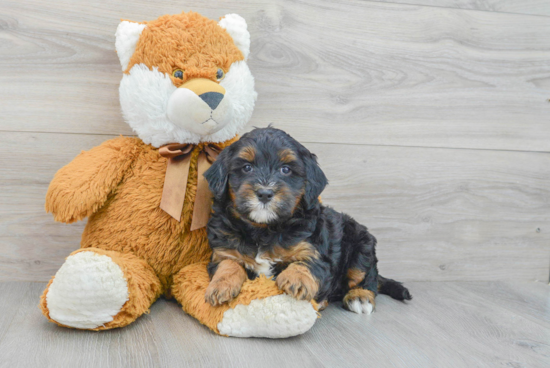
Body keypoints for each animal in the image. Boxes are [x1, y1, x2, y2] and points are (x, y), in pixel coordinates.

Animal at [203, 127, 410, 314]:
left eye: (285, 169)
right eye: (247, 167)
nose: (265, 193)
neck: (264, 229)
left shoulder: (313, 248)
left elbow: (308, 262)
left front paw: (297, 280)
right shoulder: (224, 249)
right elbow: (228, 263)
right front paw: (220, 285)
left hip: (361, 242)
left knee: (366, 276)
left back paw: (360, 296)